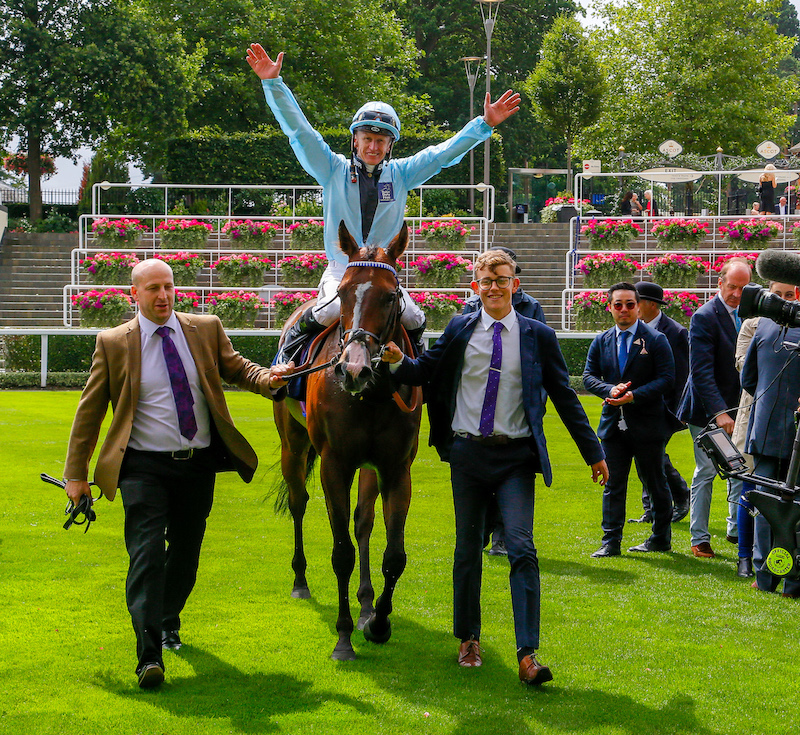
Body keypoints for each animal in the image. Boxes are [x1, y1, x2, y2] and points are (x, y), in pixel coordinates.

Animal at [274, 220, 422, 660]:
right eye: (342, 294)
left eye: (390, 296)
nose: (353, 369)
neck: (369, 397)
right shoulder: (334, 464)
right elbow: (341, 553)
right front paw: (343, 639)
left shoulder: (395, 468)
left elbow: (394, 554)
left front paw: (378, 622)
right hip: (293, 447)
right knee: (299, 503)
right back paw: (300, 581)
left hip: (368, 467)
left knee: (363, 521)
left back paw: (366, 604)